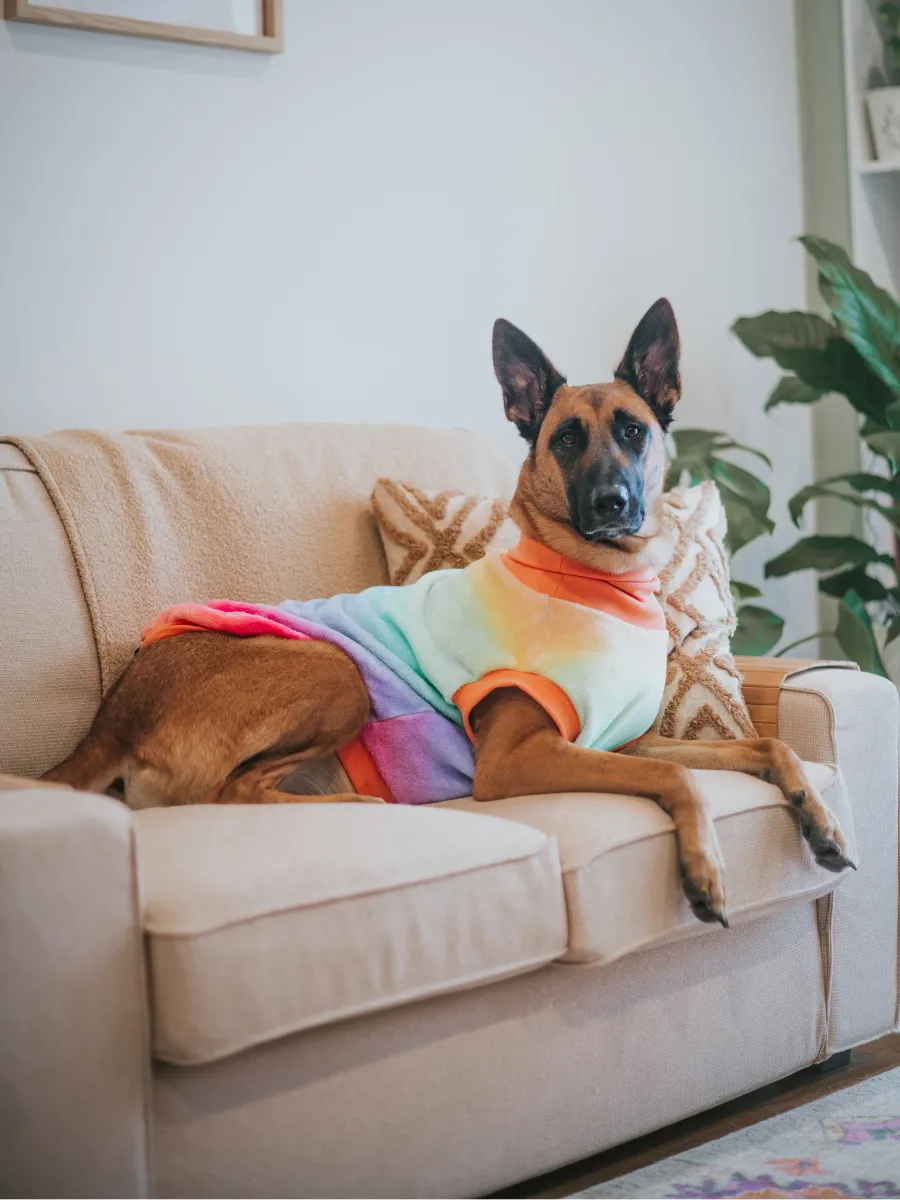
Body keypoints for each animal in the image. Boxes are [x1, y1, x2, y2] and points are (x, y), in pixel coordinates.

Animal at [40, 300, 854, 926]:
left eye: (633, 430)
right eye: (565, 439)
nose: (612, 506)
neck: (594, 581)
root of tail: (112, 712)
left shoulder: (629, 742)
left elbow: (766, 747)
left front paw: (819, 818)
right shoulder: (520, 757)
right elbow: (684, 779)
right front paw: (704, 871)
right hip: (335, 671)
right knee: (231, 792)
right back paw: (371, 809)